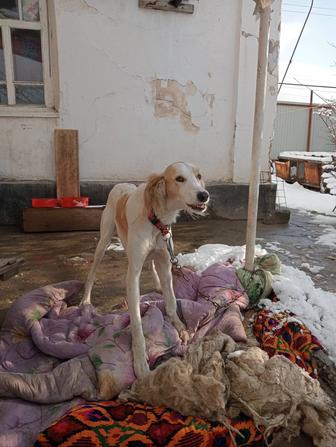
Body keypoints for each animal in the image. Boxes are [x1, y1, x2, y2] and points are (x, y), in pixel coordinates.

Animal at [80, 161, 209, 378]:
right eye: (179, 178)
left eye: (199, 176)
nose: (204, 195)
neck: (156, 218)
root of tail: (121, 184)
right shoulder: (133, 275)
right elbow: (137, 323)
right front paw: (140, 361)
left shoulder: (165, 262)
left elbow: (171, 301)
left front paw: (179, 326)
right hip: (104, 241)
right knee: (92, 272)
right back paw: (86, 299)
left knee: (151, 264)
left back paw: (156, 285)